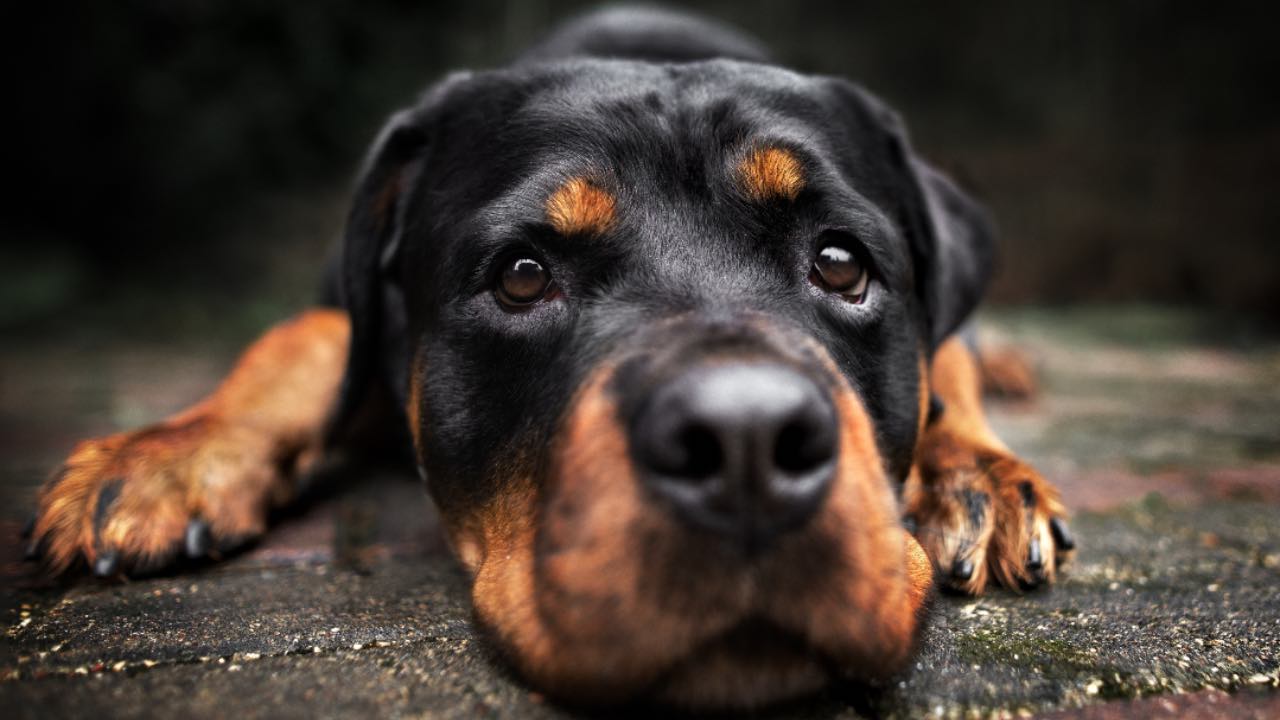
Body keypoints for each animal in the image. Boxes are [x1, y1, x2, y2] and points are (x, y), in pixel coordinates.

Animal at [27, 7, 1070, 707]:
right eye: (522, 277)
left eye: (842, 263)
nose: (745, 443)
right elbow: (307, 338)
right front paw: (166, 456)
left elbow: (944, 368)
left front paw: (975, 474)